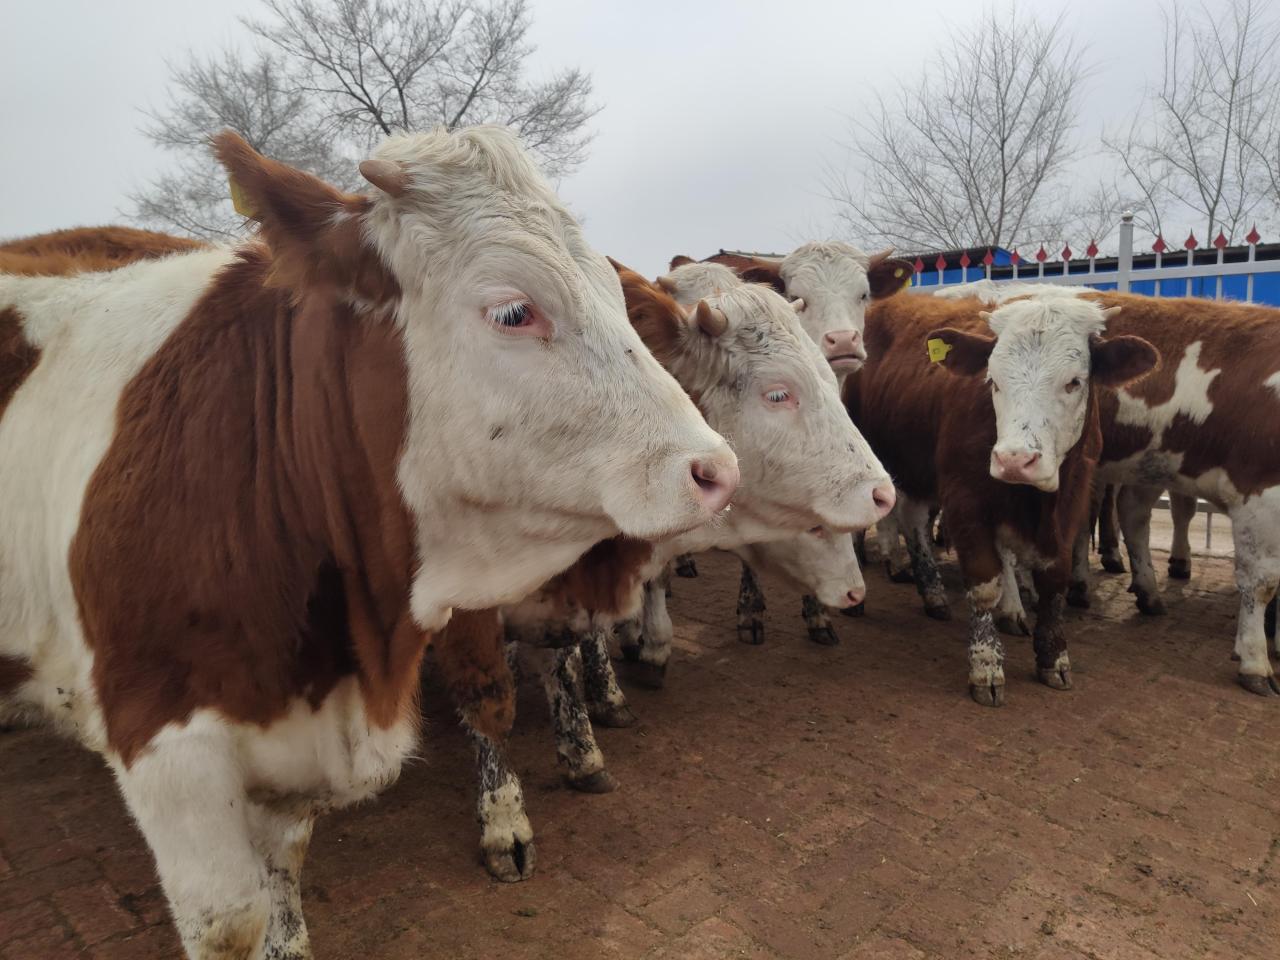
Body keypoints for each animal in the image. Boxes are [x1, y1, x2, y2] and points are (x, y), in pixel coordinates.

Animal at [849, 293, 1162, 706]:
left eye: (1074, 382)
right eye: (993, 381)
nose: (1015, 459)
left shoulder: (1073, 500)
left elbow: (1053, 582)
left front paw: (1053, 657)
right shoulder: (964, 501)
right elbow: (985, 583)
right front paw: (986, 666)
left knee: (913, 518)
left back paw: (934, 594)